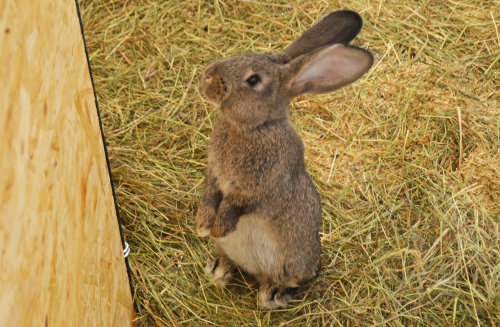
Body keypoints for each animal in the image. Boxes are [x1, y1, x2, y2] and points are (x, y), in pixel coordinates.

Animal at [194, 9, 372, 308]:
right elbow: (210, 195)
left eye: (253, 80)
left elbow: (233, 205)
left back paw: (272, 295)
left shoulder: (260, 188)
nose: (208, 76)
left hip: (291, 263)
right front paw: (203, 226)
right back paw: (219, 269)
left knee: (285, 280)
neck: (254, 127)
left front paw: (218, 228)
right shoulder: (214, 175)